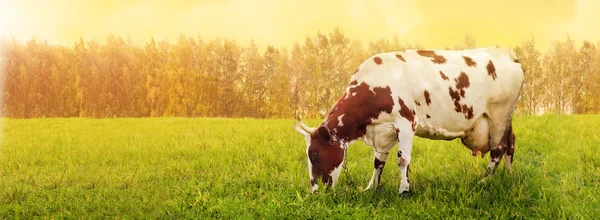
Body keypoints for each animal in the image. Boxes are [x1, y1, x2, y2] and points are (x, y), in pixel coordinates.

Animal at [292, 47, 524, 193]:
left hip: (498, 115)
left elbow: (403, 159)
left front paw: (404, 189)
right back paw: (508, 175)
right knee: (511, 143)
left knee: (498, 149)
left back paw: (484, 180)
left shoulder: (405, 122)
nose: (315, 190)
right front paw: (371, 187)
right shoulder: (383, 129)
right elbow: (378, 161)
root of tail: (507, 53)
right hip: (507, 118)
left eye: (314, 153)